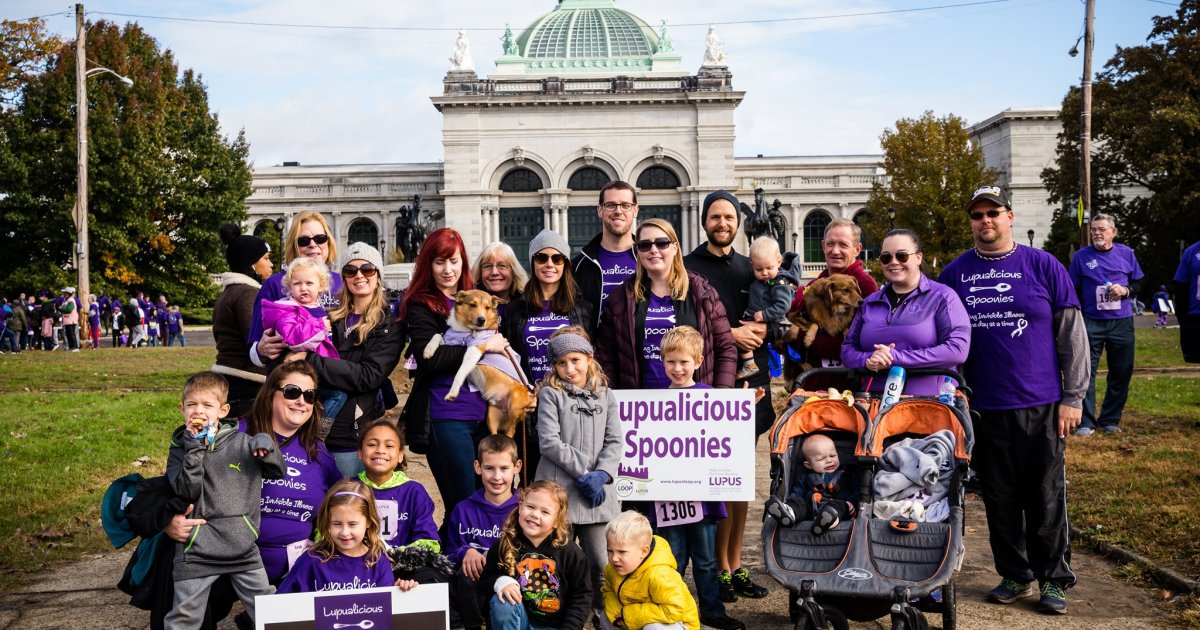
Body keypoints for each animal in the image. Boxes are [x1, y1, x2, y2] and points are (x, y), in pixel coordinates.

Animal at [422, 290, 535, 436]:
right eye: (472, 305)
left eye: (487, 307)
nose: (482, 320)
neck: (465, 330)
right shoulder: (449, 340)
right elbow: (437, 335)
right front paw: (428, 350)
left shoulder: (475, 350)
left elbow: (460, 373)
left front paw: (452, 393)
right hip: (491, 415)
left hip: (514, 405)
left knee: (511, 430)